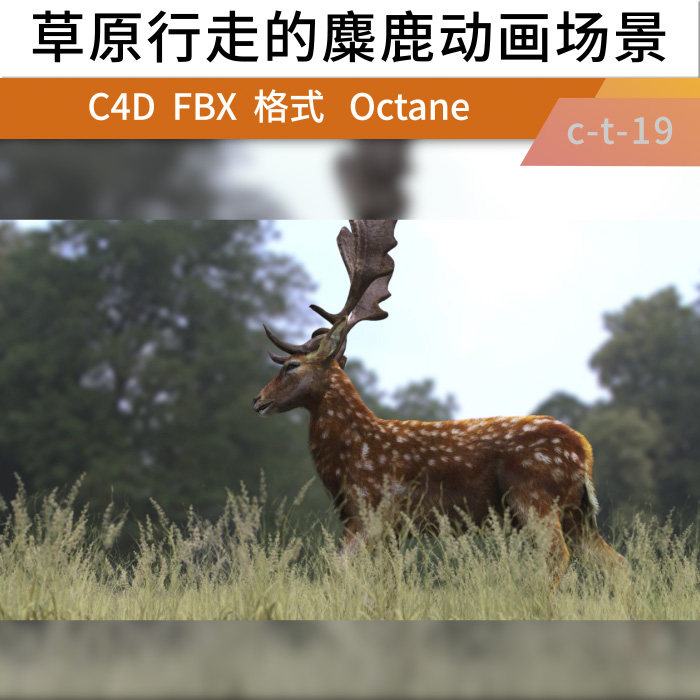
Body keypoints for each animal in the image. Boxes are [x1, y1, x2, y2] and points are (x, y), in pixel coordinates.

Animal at [253, 220, 625, 581]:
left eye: (290, 366)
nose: (258, 400)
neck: (351, 456)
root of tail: (584, 452)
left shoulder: (370, 511)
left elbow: (338, 566)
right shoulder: (389, 529)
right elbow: (390, 580)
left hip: (535, 496)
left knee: (557, 557)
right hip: (576, 511)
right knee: (616, 562)